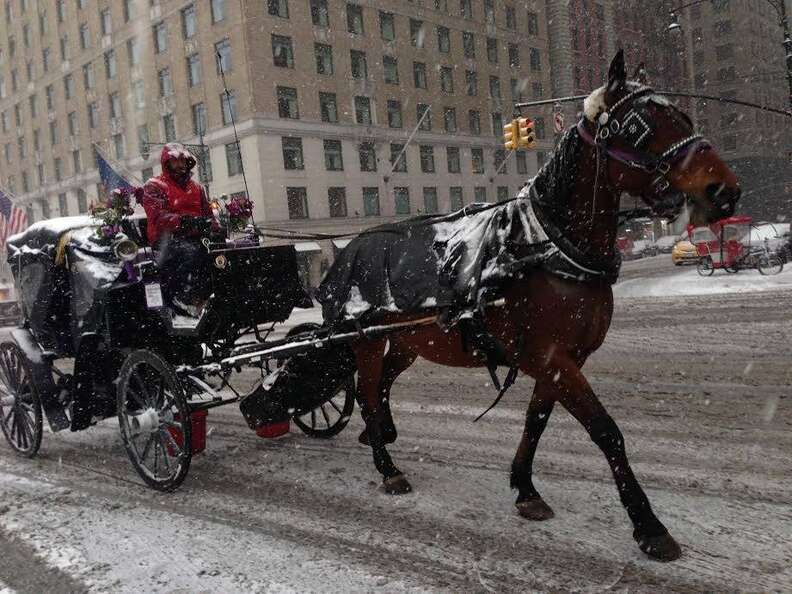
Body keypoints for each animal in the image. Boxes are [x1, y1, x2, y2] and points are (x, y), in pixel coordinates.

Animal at [344, 52, 740, 560]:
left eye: (686, 119)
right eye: (641, 126)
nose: (723, 189)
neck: (548, 245)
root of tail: (354, 244)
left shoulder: (562, 359)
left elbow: (537, 421)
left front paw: (525, 488)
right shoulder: (551, 358)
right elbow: (606, 431)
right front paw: (648, 524)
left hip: (409, 342)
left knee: (384, 386)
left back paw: (382, 437)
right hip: (367, 343)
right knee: (368, 393)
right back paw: (387, 465)